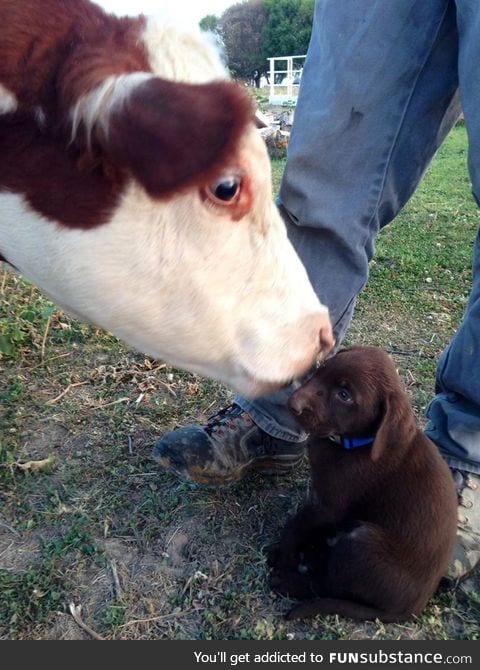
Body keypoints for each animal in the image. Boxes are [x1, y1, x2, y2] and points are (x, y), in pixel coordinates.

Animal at [266, 346, 458, 624]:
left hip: (360, 543)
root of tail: (411, 610)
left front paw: (285, 554)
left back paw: (291, 581)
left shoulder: (327, 504)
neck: (358, 443)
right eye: (321, 368)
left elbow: (296, 524)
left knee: (330, 585)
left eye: (344, 395)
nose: (293, 403)